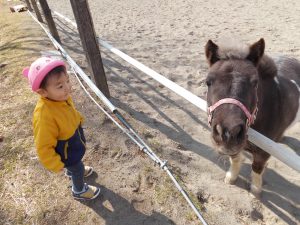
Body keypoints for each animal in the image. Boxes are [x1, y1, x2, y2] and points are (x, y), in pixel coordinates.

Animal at [205, 38, 298, 195]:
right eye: (208, 82)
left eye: (255, 83)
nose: (228, 133)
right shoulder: (235, 146)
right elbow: (235, 159)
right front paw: (231, 178)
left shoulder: (264, 152)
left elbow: (257, 167)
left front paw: (255, 190)